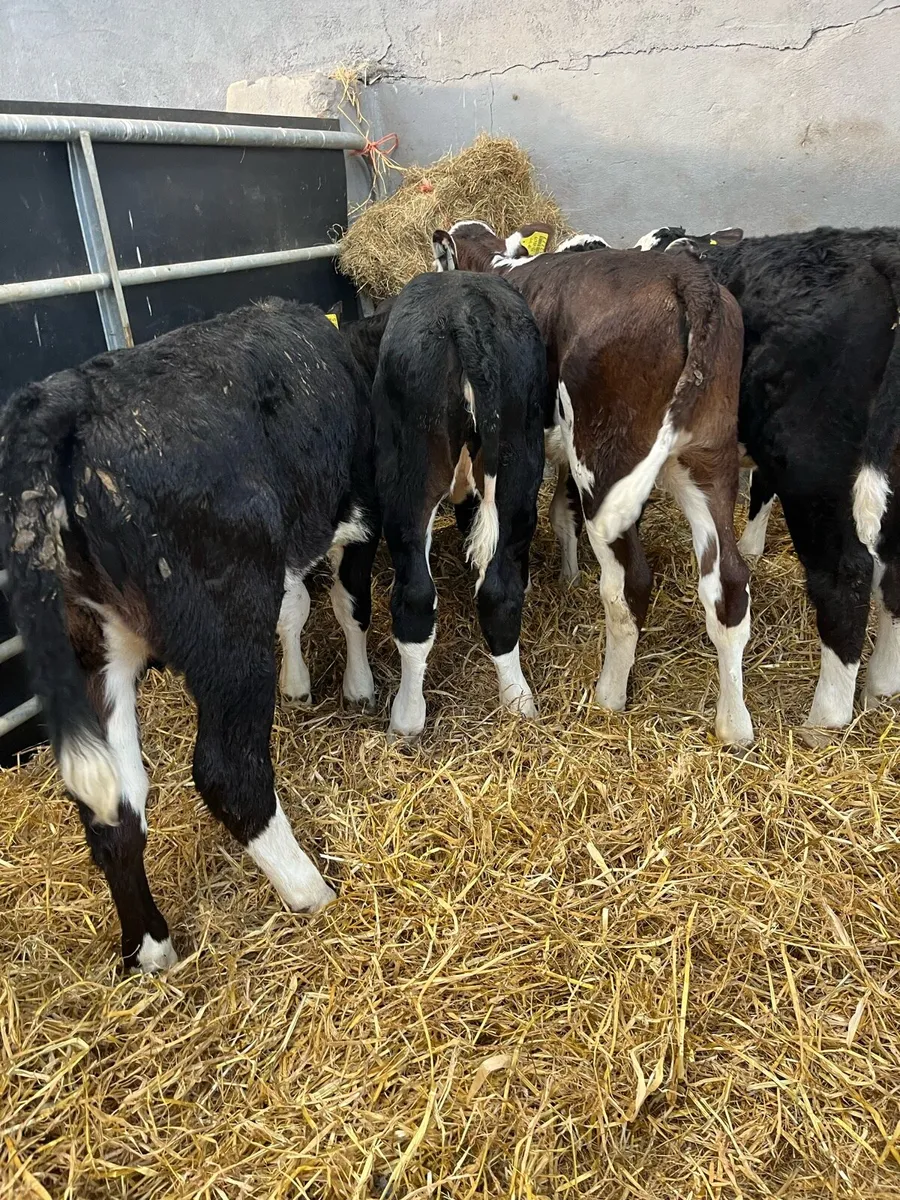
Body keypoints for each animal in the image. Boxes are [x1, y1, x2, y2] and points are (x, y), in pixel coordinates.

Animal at [0, 298, 380, 971]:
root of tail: (65, 393)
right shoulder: (359, 514)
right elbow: (346, 602)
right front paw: (356, 687)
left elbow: (296, 607)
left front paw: (300, 683)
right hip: (227, 626)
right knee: (228, 772)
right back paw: (312, 893)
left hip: (90, 649)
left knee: (115, 808)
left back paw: (151, 950)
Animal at [341, 271, 547, 740]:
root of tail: (465, 310)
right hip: (518, 467)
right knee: (498, 591)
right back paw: (518, 701)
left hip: (408, 479)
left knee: (415, 598)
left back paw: (406, 716)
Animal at [433, 220, 753, 745]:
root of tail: (687, 280)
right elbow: (559, 516)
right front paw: (567, 577)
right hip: (709, 460)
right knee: (728, 584)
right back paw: (734, 725)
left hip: (604, 463)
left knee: (629, 586)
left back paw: (609, 696)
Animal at [635, 225, 900, 735]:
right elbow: (759, 489)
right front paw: (754, 546)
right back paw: (881, 687)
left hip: (810, 463)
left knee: (846, 574)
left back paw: (824, 720)